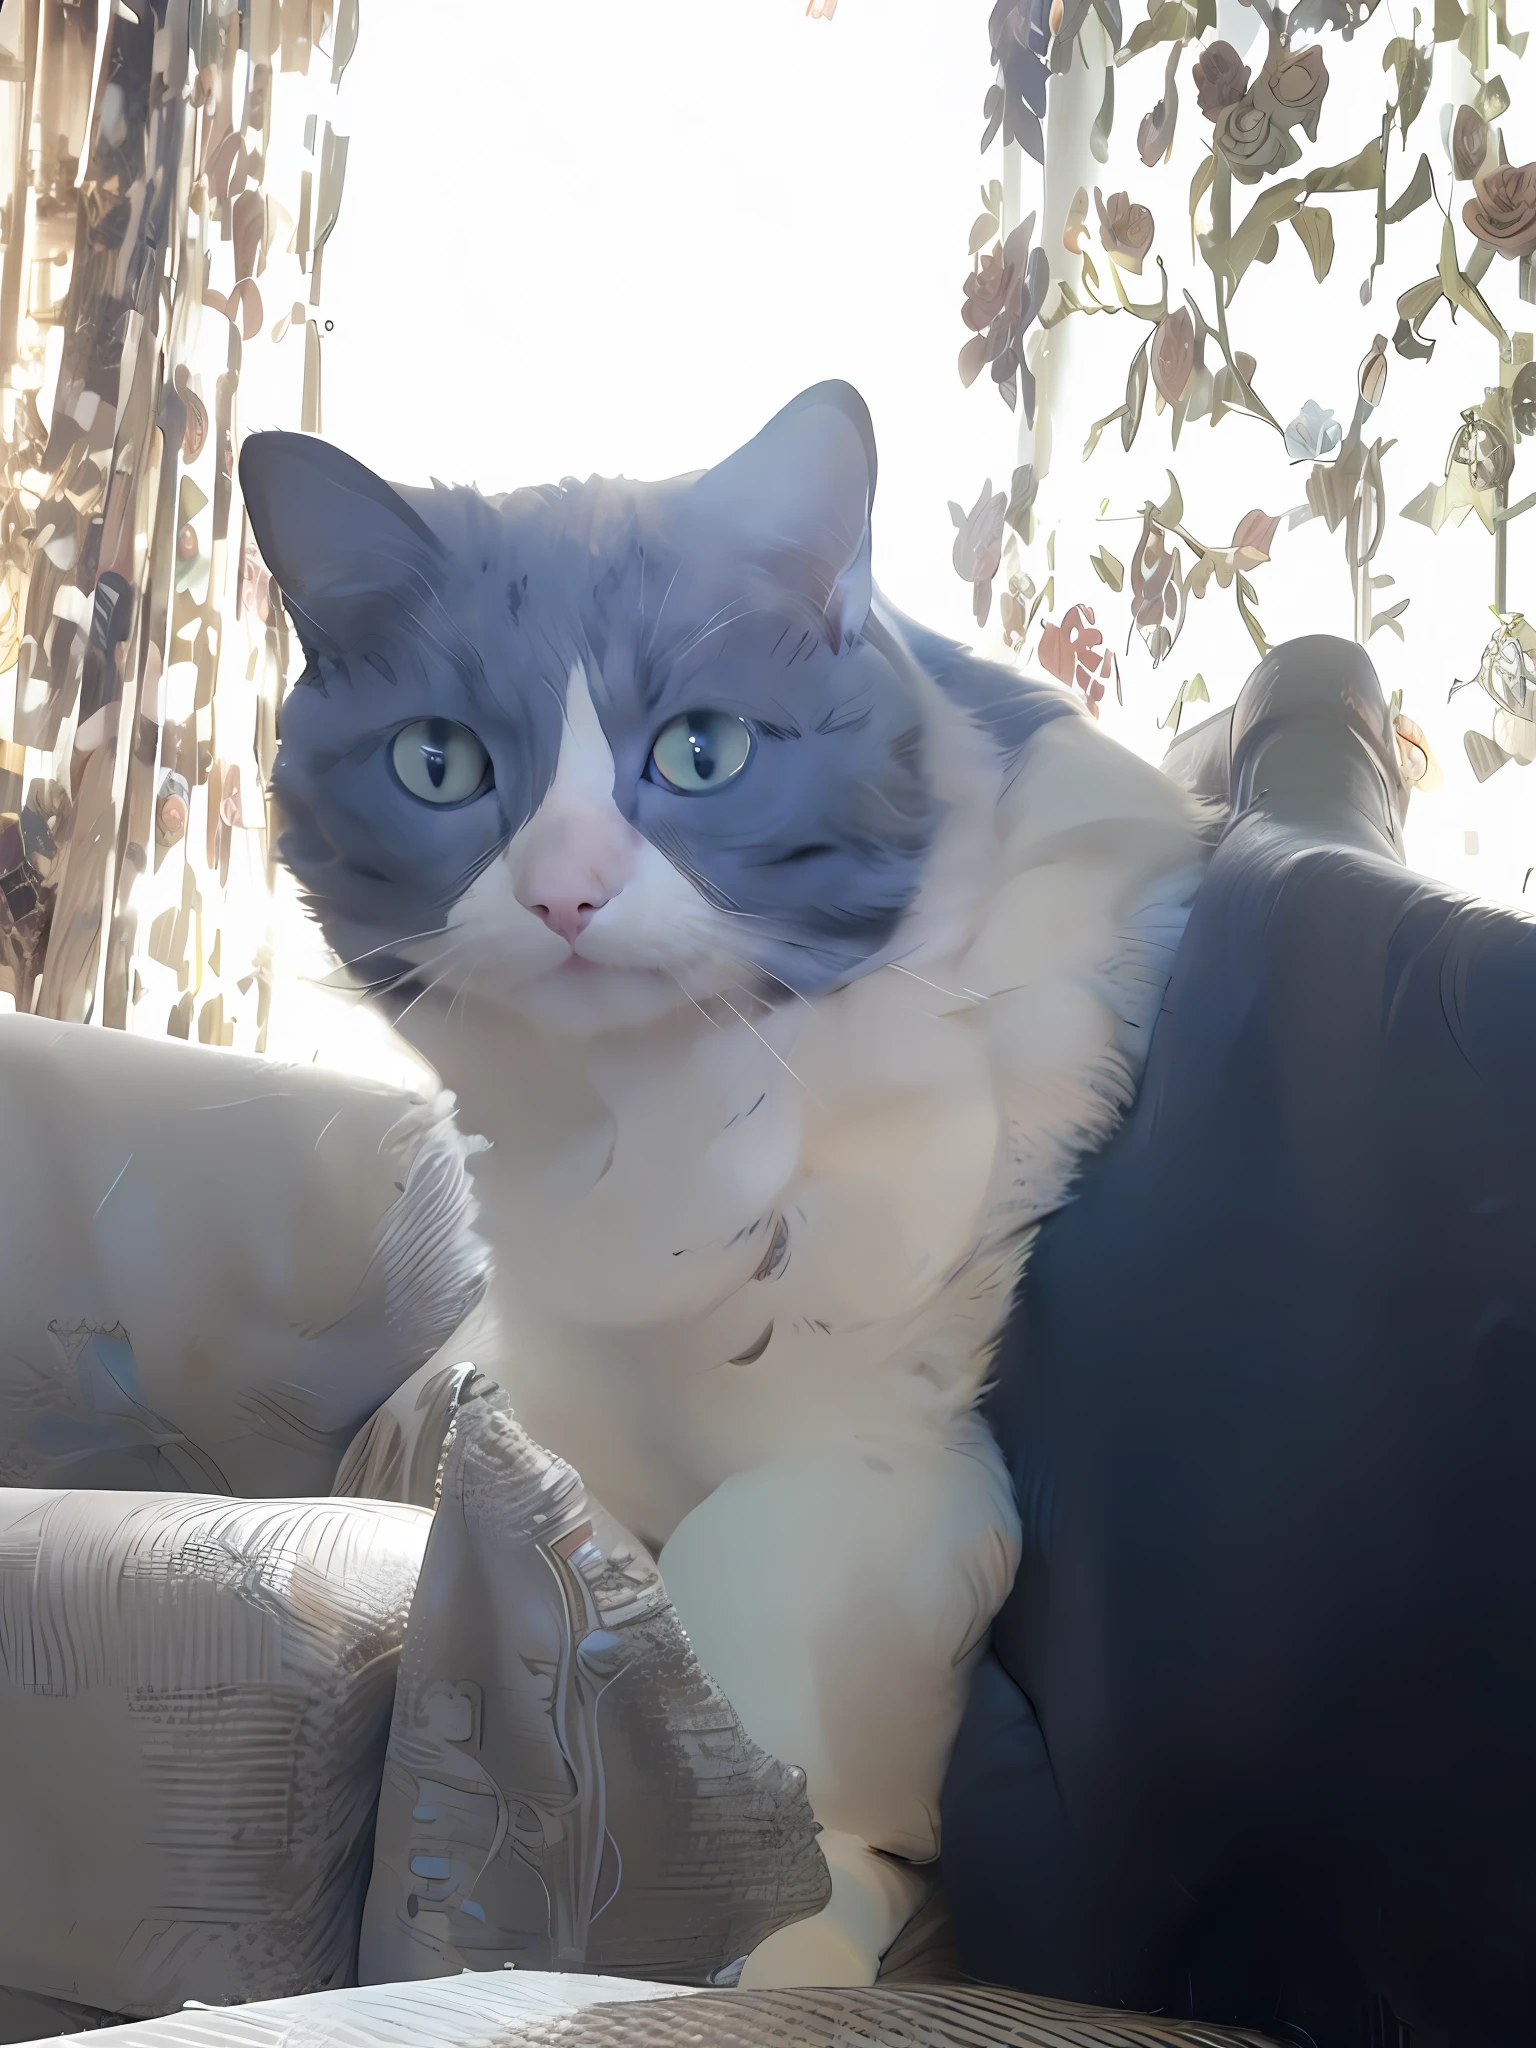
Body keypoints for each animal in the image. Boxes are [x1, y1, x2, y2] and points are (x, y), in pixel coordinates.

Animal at [240, 385, 1212, 1982]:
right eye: (439, 761)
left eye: (703, 751)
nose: (565, 890)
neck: (649, 1123)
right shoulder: (573, 1404)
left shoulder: (887, 1437)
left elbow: (744, 1598)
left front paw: (791, 1925)